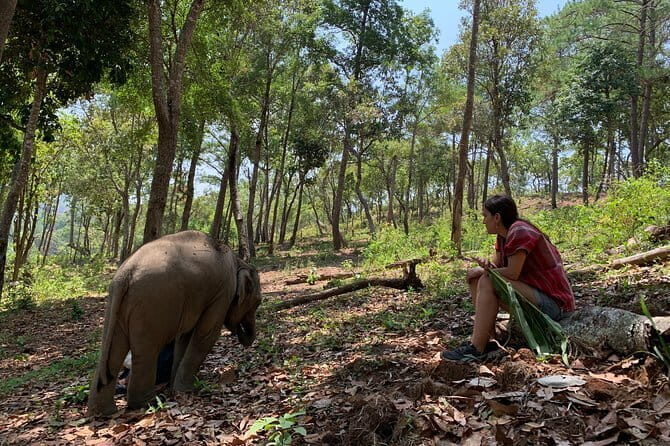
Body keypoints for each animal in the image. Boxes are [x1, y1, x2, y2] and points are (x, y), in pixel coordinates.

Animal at [87, 230, 262, 416]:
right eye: (258, 302)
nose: (241, 332)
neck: (238, 261)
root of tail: (125, 273)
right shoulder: (224, 291)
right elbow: (207, 335)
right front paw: (186, 389)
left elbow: (184, 338)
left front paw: (174, 387)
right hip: (152, 305)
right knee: (146, 352)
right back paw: (147, 403)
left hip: (119, 305)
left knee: (113, 354)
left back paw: (103, 412)